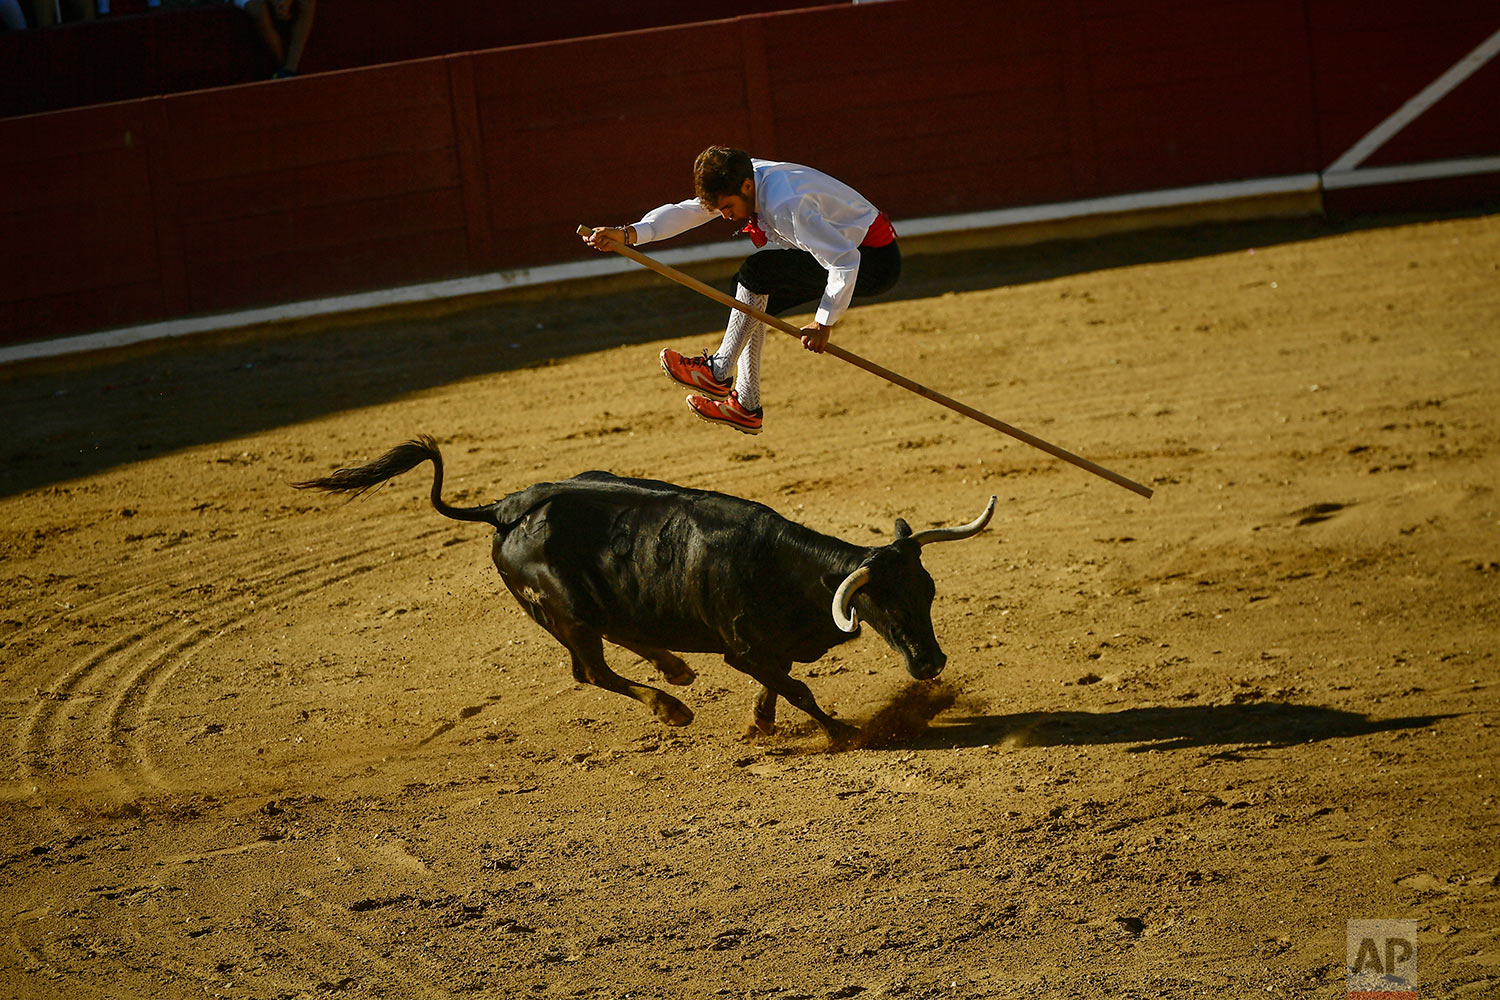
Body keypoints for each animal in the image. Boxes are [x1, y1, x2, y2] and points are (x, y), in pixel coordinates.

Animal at [295, 437, 996, 743]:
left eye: (929, 592)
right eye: (883, 600)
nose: (930, 663)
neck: (782, 567)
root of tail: (507, 508)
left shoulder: (762, 649)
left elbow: (780, 682)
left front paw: (759, 723)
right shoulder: (741, 648)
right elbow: (796, 686)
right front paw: (844, 731)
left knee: (620, 637)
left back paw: (675, 670)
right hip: (565, 613)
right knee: (591, 671)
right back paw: (671, 706)